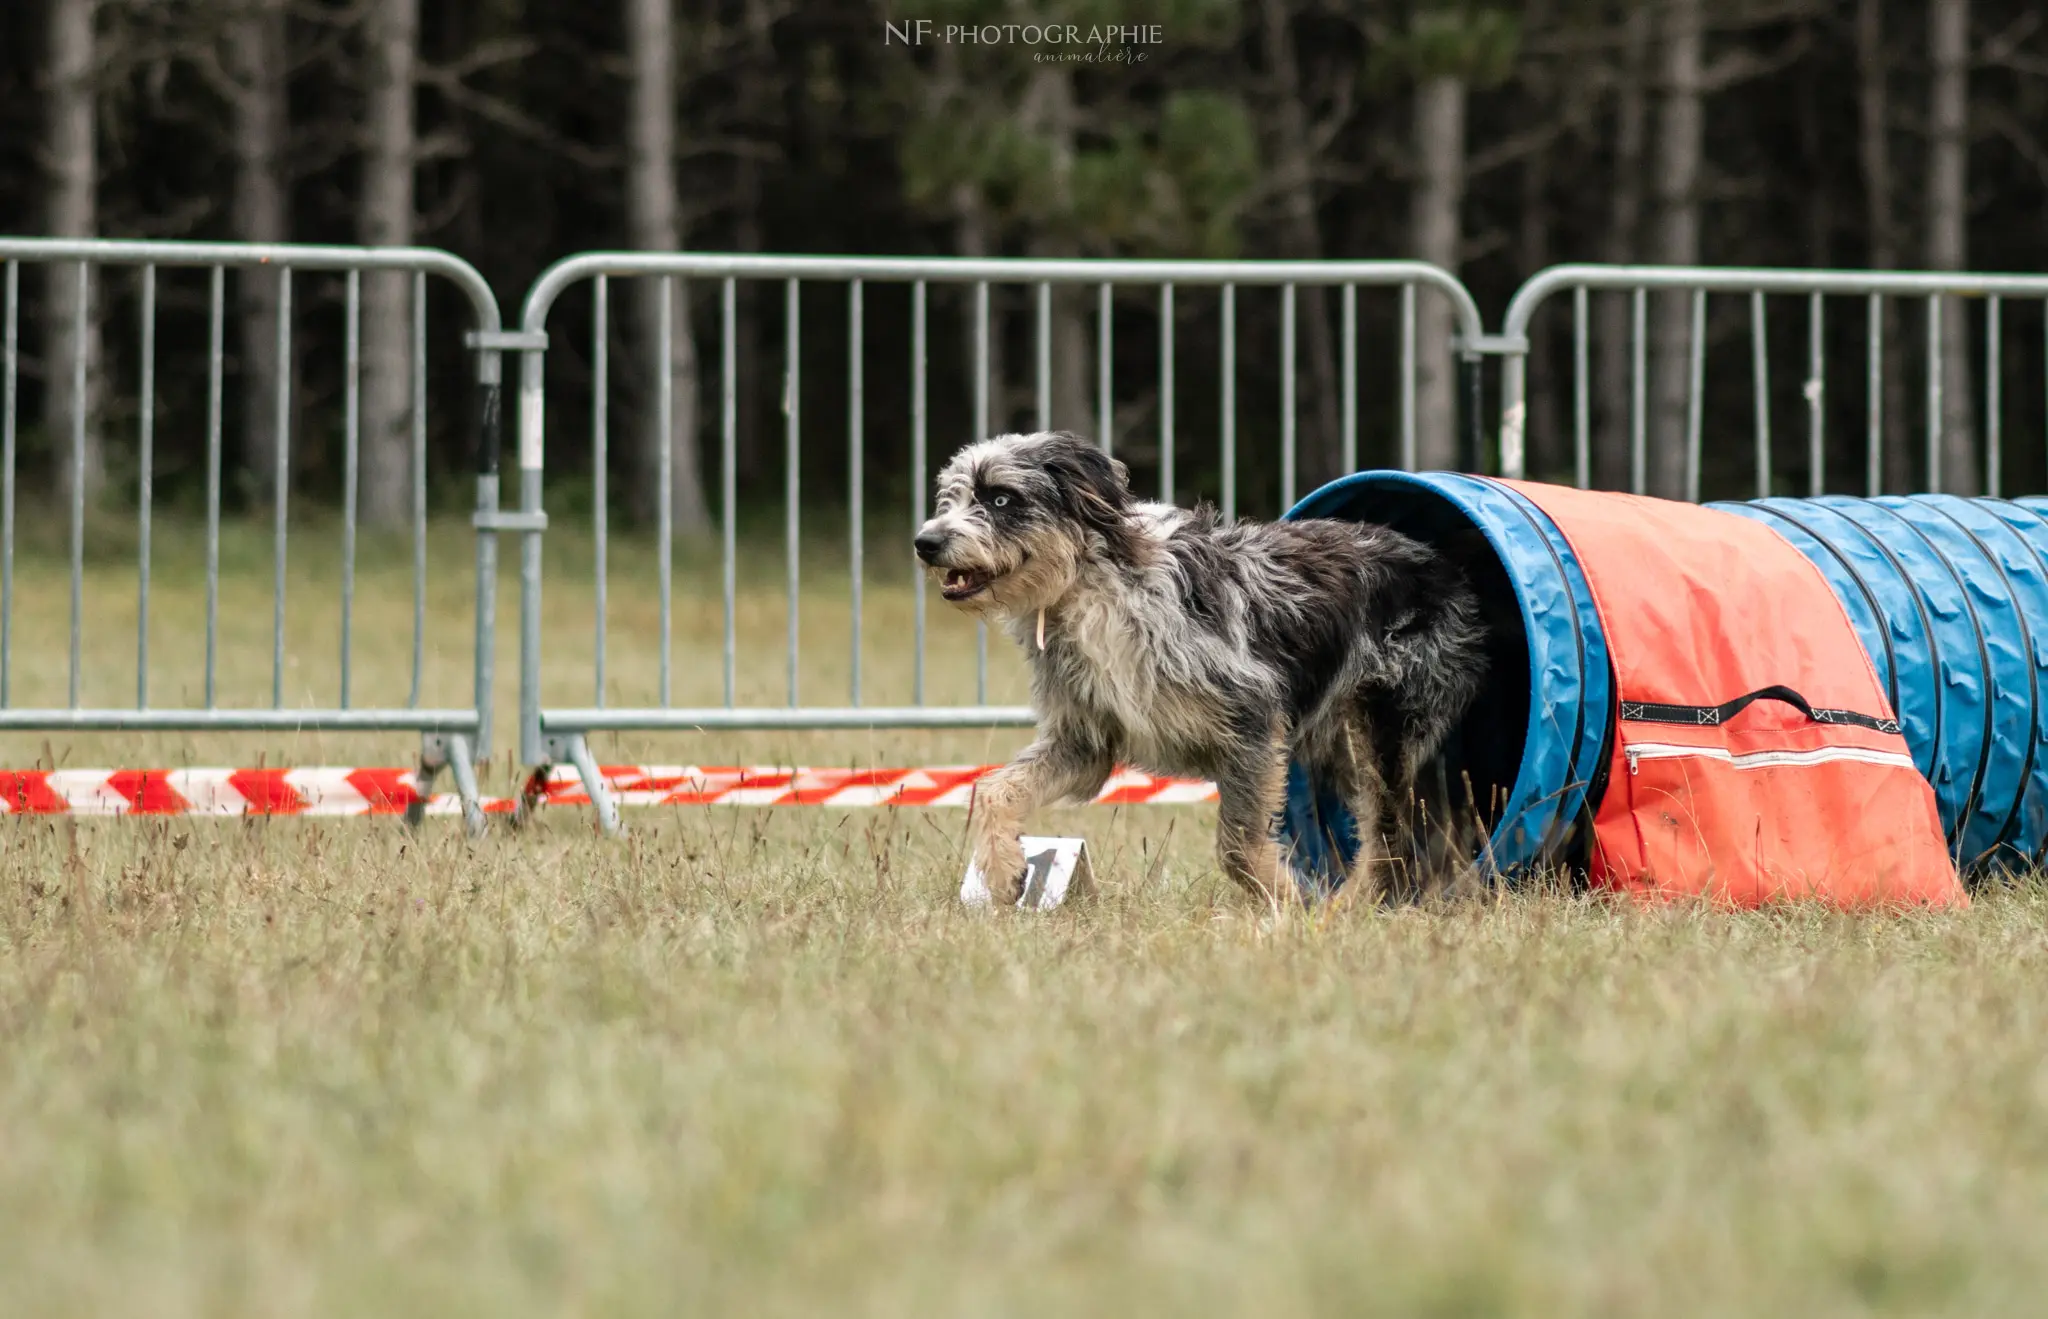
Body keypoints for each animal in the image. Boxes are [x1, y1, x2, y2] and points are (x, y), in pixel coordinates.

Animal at [917, 432, 1490, 905]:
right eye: (952, 495)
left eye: (1000, 498)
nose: (926, 542)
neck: (1095, 591)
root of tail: (1445, 565)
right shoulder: (1085, 740)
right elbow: (994, 789)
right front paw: (1004, 870)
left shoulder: (1251, 724)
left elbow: (1238, 845)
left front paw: (1286, 900)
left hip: (1385, 731)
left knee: (1392, 835)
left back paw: (1348, 907)